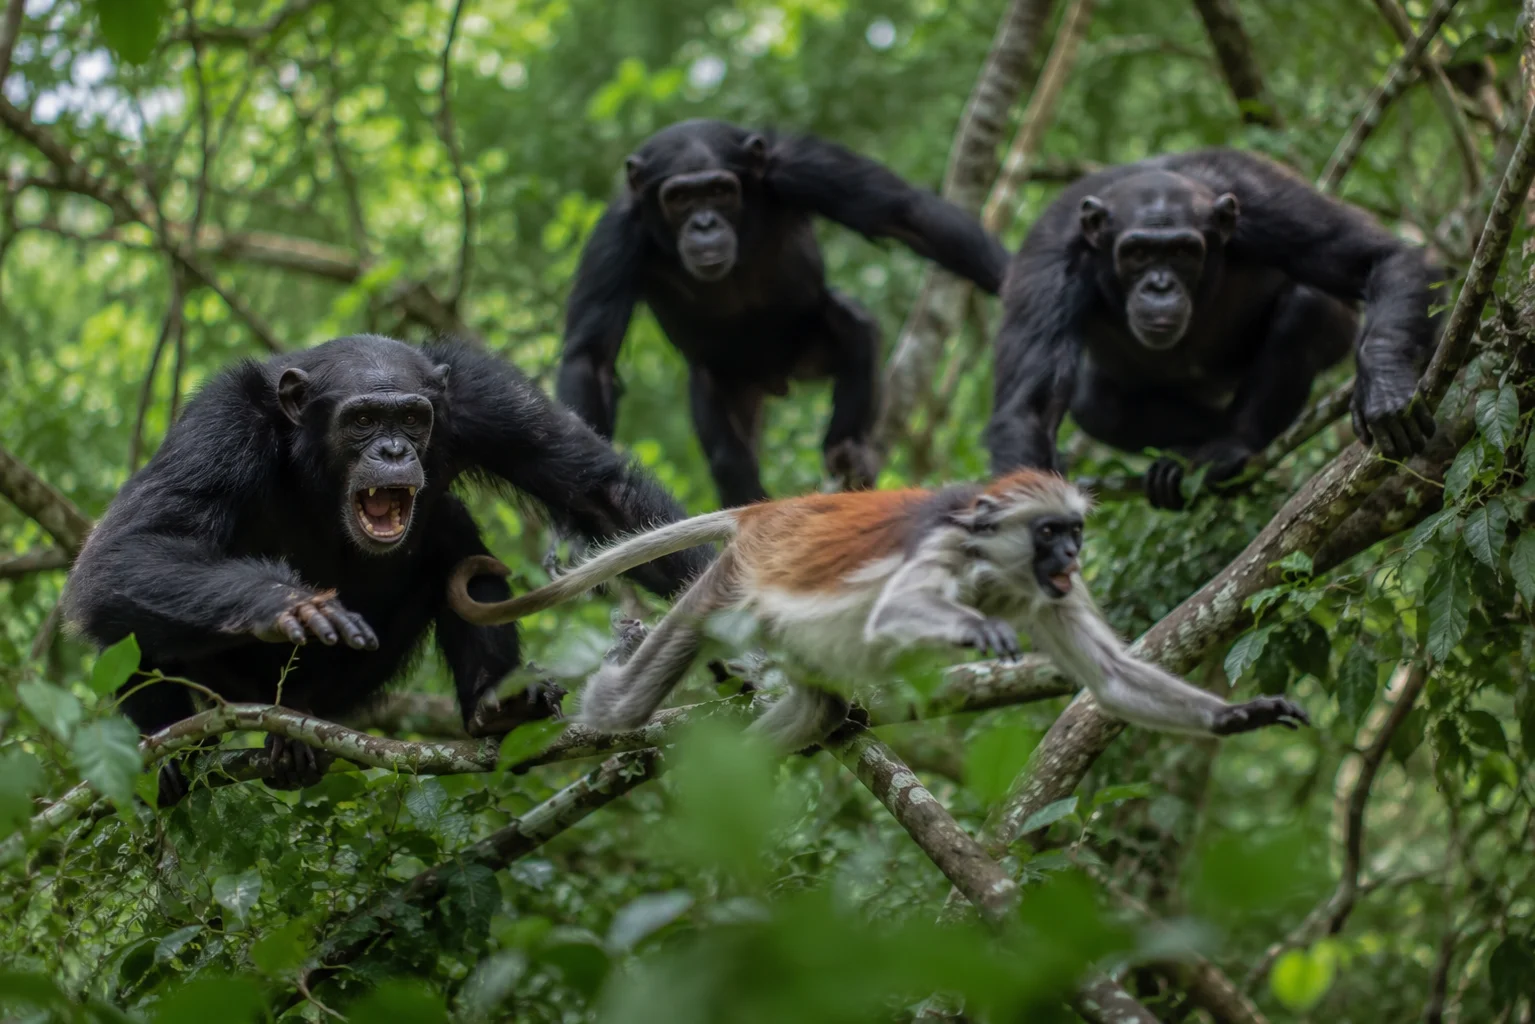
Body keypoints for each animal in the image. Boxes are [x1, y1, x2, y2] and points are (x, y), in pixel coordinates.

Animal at [445, 470, 1309, 752]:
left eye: (1073, 533)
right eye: (1051, 532)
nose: (1071, 556)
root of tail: (770, 513)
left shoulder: (1044, 595)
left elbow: (1110, 678)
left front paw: (1239, 716)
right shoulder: (944, 549)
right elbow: (894, 613)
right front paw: (971, 629)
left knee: (812, 712)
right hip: (734, 583)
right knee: (623, 706)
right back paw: (613, 681)